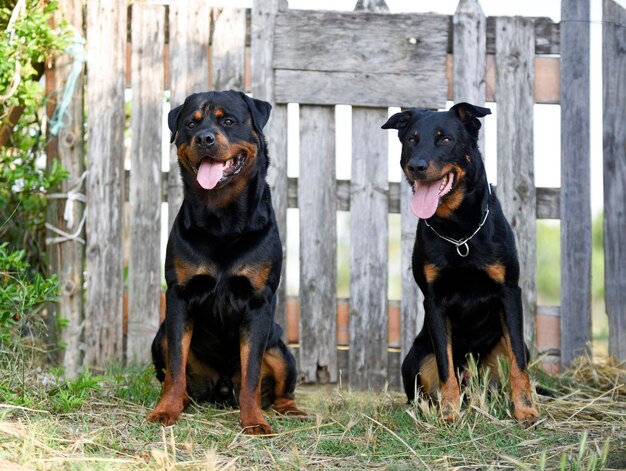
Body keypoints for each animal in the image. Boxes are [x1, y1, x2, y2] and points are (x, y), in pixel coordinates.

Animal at [146, 90, 302, 434]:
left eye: (228, 121)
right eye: (191, 123)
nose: (205, 138)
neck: (222, 221)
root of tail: (220, 388)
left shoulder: (258, 302)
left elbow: (251, 373)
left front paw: (254, 421)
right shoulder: (179, 296)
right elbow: (175, 366)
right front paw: (166, 410)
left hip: (280, 348)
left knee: (282, 386)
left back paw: (291, 410)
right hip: (160, 337)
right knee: (174, 371)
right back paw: (183, 400)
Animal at [382, 102, 540, 424]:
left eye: (445, 139)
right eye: (411, 140)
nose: (416, 166)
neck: (459, 232)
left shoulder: (509, 291)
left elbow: (518, 362)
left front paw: (526, 410)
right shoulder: (434, 300)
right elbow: (445, 365)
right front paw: (449, 414)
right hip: (416, 358)